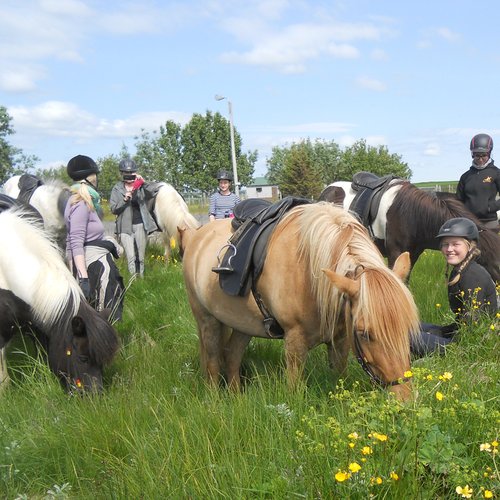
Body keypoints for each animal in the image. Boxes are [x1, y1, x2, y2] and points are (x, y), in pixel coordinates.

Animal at [182, 201, 420, 400]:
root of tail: (195, 236)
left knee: (232, 356)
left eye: (407, 328)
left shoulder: (340, 339)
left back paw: (237, 398)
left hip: (243, 324)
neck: (310, 272)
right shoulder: (295, 341)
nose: (405, 398)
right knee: (213, 363)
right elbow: (294, 389)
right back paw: (214, 400)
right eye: (364, 334)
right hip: (207, 320)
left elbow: (338, 377)